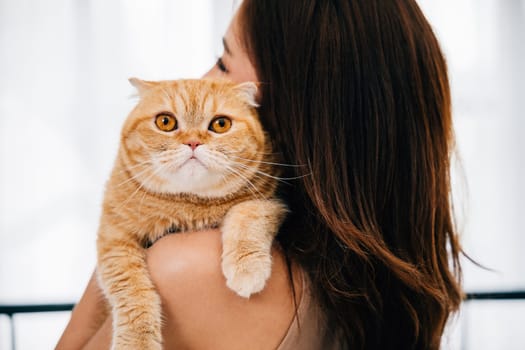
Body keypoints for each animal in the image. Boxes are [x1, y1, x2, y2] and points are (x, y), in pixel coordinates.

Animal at [96, 78, 288, 348]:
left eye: (221, 124)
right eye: (165, 122)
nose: (193, 142)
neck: (189, 206)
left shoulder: (272, 202)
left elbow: (247, 213)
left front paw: (247, 267)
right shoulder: (114, 239)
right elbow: (131, 291)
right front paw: (136, 342)